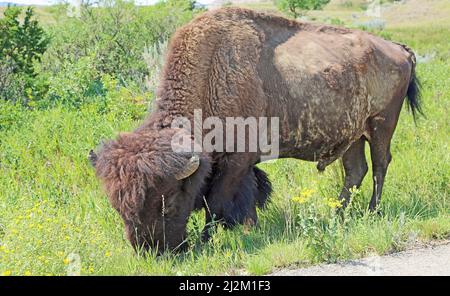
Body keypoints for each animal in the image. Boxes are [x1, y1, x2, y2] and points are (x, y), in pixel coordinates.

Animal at [89, 7, 422, 252]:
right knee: (355, 171)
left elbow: (217, 202)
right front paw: (251, 229)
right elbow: (247, 196)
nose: (154, 252)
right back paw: (337, 215)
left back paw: (372, 211)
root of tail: (400, 49)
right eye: (118, 206)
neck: (211, 71)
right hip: (352, 135)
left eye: (168, 200)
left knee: (379, 165)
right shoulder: (240, 164)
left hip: (381, 124)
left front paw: (208, 240)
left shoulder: (236, 161)